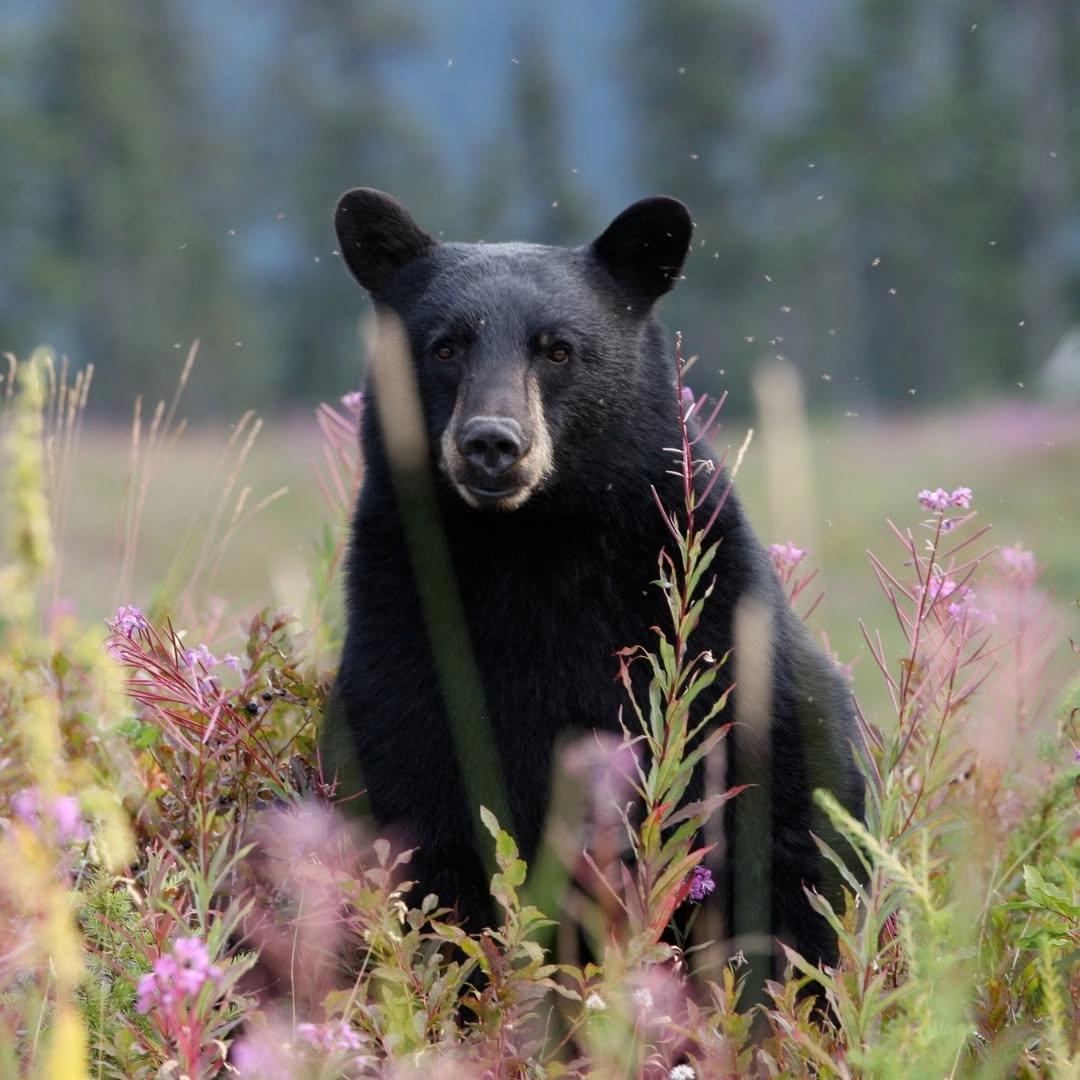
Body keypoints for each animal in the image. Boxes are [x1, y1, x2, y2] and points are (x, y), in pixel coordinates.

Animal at [322, 187, 866, 983]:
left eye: (558, 349)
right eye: (444, 346)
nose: (492, 443)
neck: (531, 550)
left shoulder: (738, 666)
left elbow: (792, 872)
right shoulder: (403, 653)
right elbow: (426, 851)